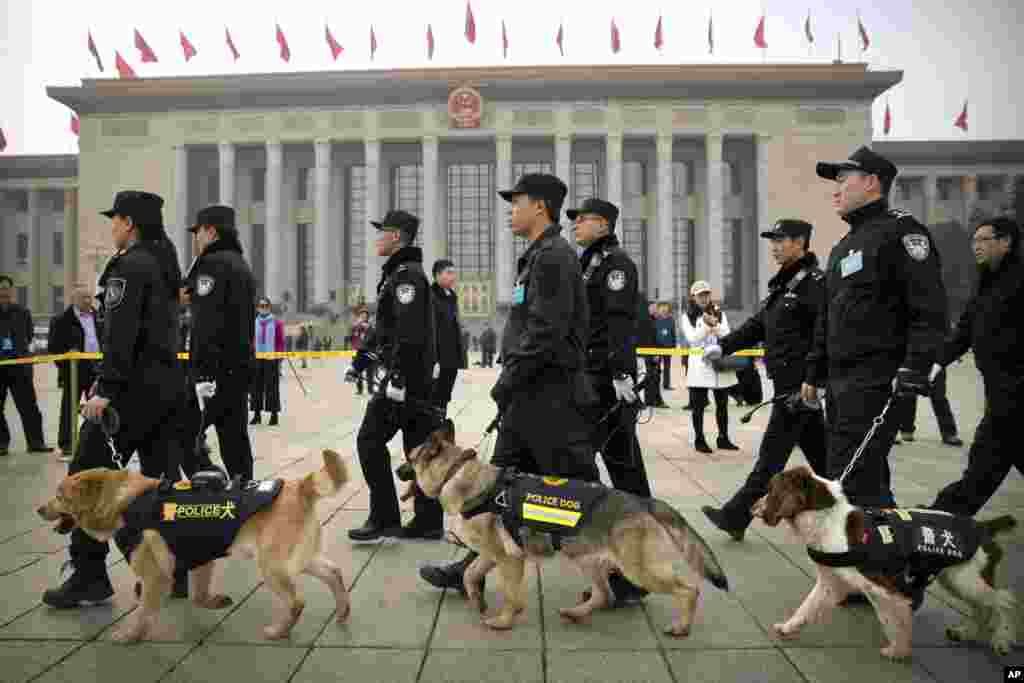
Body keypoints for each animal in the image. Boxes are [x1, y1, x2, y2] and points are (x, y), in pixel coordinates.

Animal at [37, 450, 352, 643]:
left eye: (59, 496)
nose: (39, 509)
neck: (122, 502)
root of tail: (299, 487)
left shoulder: (155, 576)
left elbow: (143, 612)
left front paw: (131, 636)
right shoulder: (202, 559)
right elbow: (199, 596)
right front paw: (215, 601)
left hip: (272, 565)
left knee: (297, 601)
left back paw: (279, 630)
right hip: (298, 559)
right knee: (334, 572)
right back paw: (342, 612)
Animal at [399, 419, 729, 638]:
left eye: (410, 458)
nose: (397, 470)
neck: (456, 474)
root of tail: (643, 501)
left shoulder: (509, 560)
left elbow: (510, 594)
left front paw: (505, 620)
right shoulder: (492, 555)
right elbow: (470, 573)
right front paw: (477, 600)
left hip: (640, 570)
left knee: (689, 590)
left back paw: (682, 627)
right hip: (588, 561)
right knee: (603, 595)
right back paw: (576, 613)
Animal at [753, 466, 1015, 659]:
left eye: (770, 489)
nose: (752, 507)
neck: (829, 521)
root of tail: (983, 527)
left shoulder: (883, 588)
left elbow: (890, 619)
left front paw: (898, 650)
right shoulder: (831, 582)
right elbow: (806, 607)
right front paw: (787, 628)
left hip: (966, 579)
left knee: (1003, 601)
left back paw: (1002, 639)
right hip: (954, 578)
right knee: (982, 607)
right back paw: (965, 632)